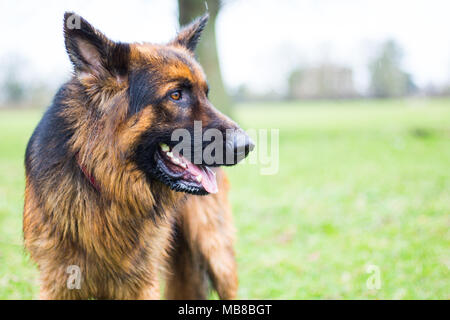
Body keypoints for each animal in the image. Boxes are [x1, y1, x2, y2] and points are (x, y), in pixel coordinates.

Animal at [23, 10, 253, 300]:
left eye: (206, 95)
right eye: (176, 95)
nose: (247, 145)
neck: (109, 188)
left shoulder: (142, 283)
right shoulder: (57, 281)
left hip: (216, 252)